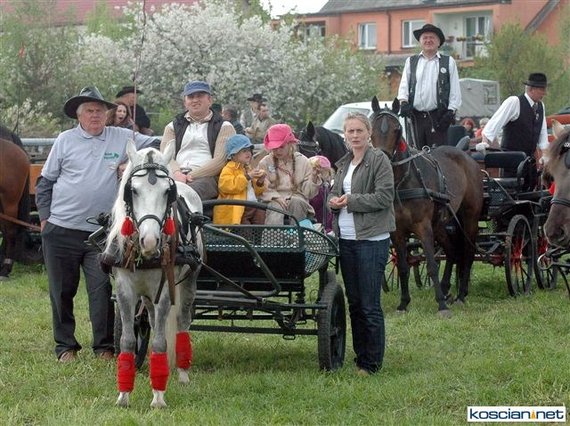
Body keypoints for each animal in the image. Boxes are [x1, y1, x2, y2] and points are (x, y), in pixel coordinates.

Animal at [106, 140, 203, 408]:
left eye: (166, 192)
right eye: (133, 190)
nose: (149, 241)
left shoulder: (165, 291)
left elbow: (160, 341)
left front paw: (158, 396)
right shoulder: (125, 289)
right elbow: (127, 341)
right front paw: (123, 395)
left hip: (189, 281)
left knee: (182, 322)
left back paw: (182, 373)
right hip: (147, 296)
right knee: (149, 319)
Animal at [370, 97, 484, 316]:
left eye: (397, 129)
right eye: (371, 129)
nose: (383, 160)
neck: (404, 182)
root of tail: (467, 156)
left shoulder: (423, 227)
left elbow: (431, 264)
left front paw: (441, 305)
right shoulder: (397, 232)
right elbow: (403, 267)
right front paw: (403, 303)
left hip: (469, 218)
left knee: (467, 252)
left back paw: (461, 294)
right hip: (440, 224)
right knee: (453, 252)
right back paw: (447, 288)